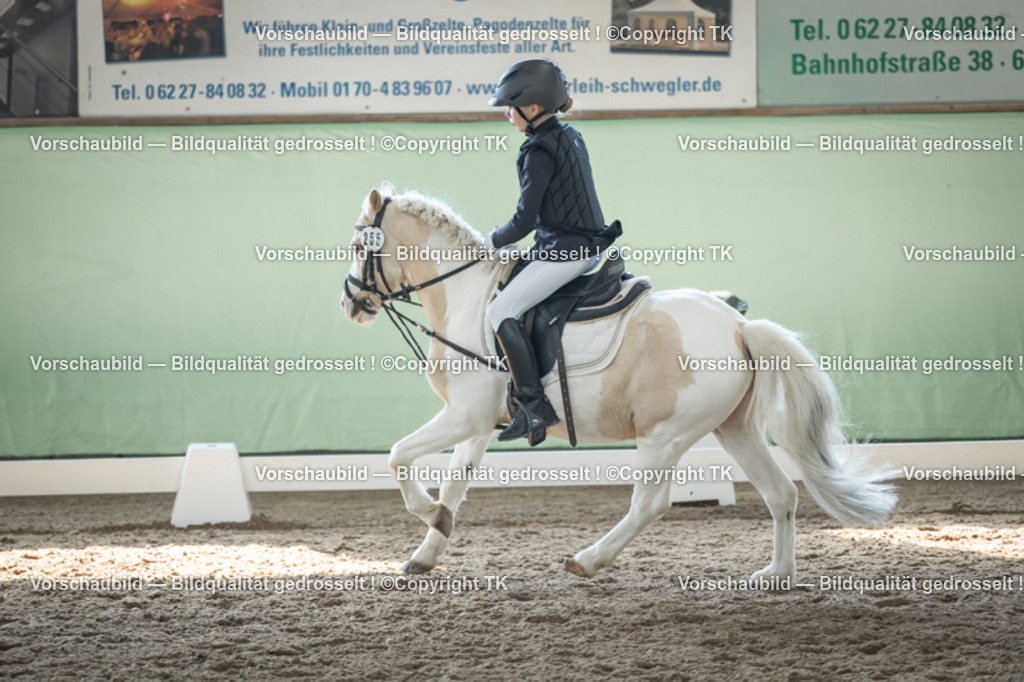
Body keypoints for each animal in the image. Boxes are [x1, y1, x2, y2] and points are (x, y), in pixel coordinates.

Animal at [341, 182, 897, 580]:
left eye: (359, 244)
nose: (350, 303)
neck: (466, 298)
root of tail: (740, 326)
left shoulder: (463, 415)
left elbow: (398, 456)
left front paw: (427, 512)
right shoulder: (477, 424)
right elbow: (455, 485)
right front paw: (429, 545)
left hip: (662, 435)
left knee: (650, 503)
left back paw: (588, 560)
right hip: (734, 429)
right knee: (781, 493)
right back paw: (775, 576)